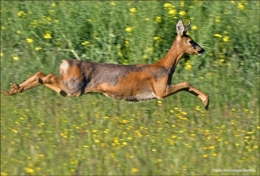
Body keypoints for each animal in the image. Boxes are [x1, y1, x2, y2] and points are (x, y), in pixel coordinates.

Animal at [2, 20, 209, 109]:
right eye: (191, 41)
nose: (202, 50)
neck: (165, 67)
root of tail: (65, 63)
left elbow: (187, 85)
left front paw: (205, 102)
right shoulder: (160, 90)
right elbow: (186, 84)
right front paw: (206, 101)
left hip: (69, 88)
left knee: (42, 75)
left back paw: (11, 89)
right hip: (74, 87)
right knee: (46, 75)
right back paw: (14, 89)